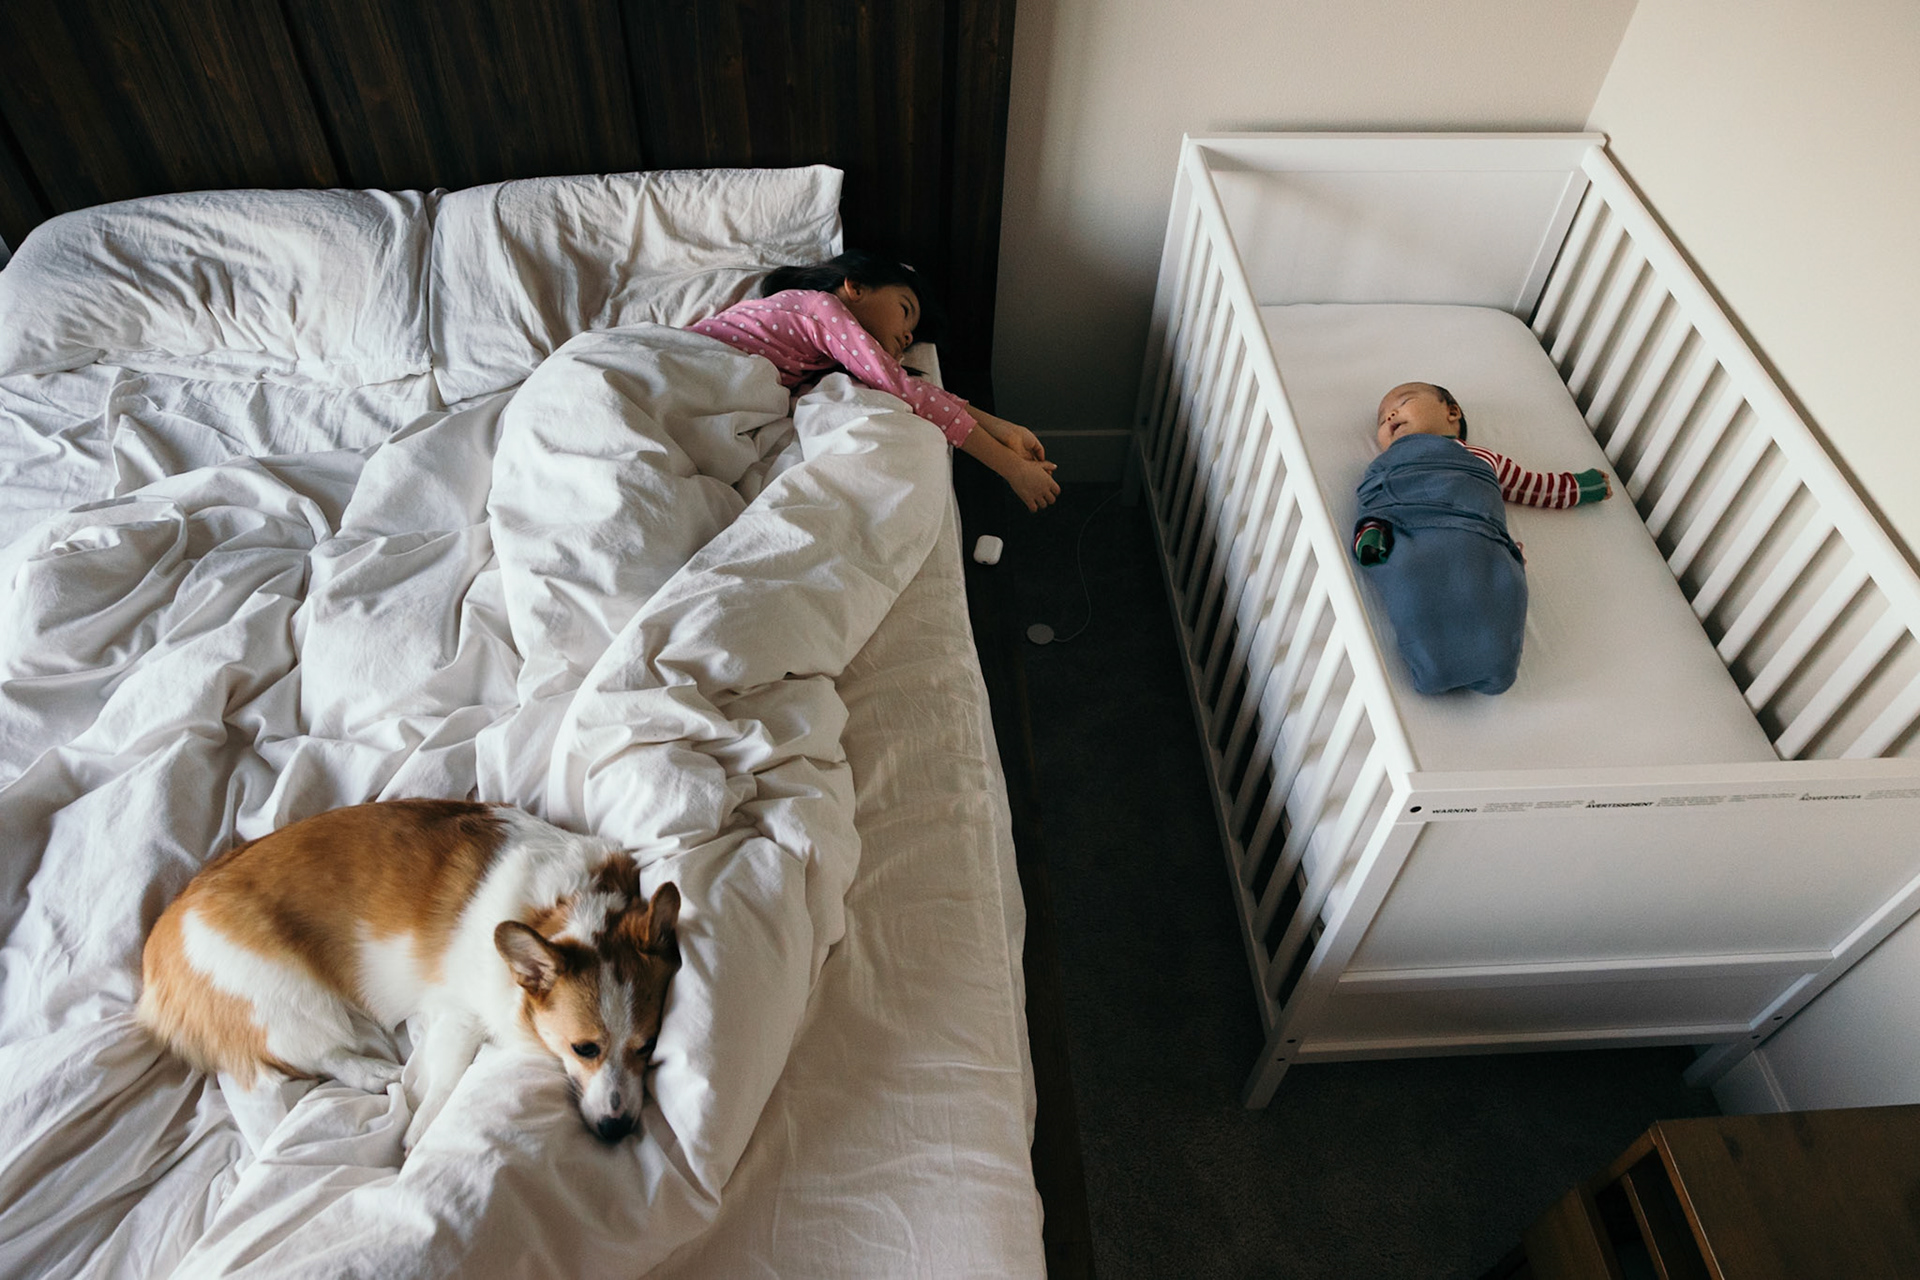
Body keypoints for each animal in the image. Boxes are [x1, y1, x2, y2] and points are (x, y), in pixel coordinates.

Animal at [137, 799, 680, 1148]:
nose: (616, 1131)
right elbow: (446, 1078)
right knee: (317, 1051)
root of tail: (156, 955)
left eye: (648, 1046)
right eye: (583, 1049)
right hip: (290, 997)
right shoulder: (458, 1014)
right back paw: (372, 1072)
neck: (565, 909)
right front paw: (421, 1133)